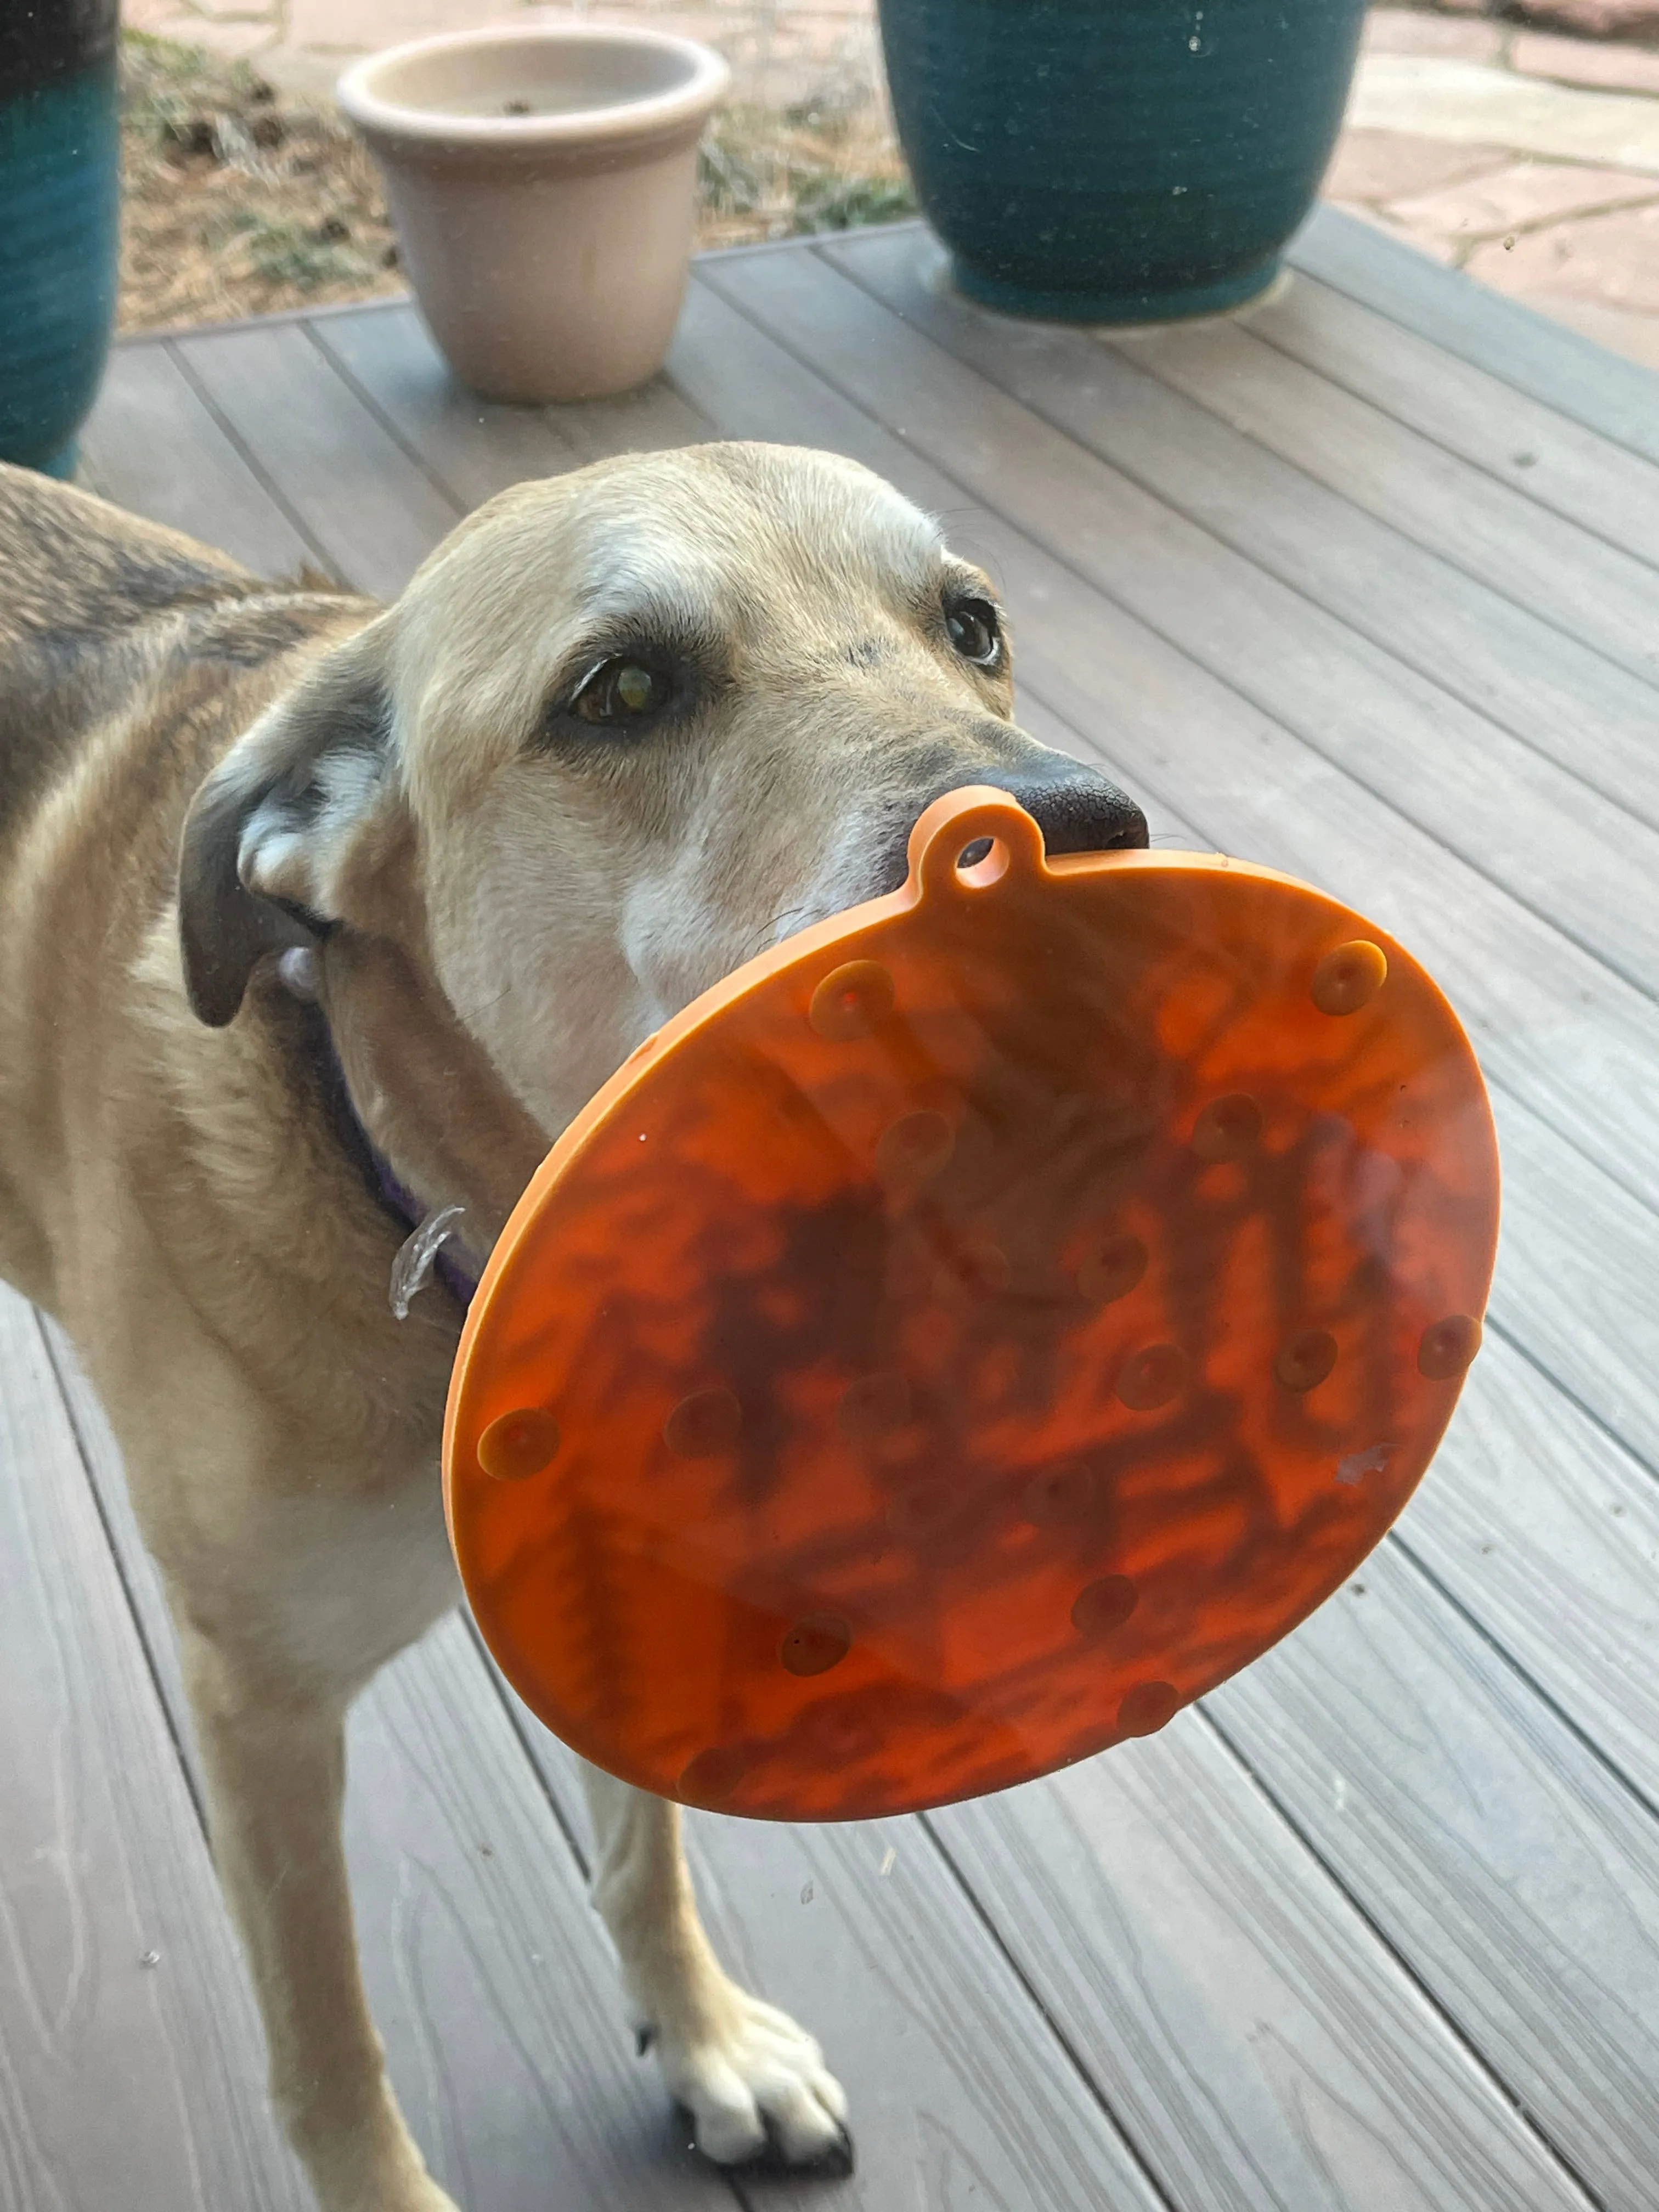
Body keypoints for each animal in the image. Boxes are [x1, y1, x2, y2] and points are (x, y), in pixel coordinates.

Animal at [0, 449, 1141, 2212]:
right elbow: (329, 2043)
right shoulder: (256, 1705)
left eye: (972, 625)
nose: (1085, 845)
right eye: (620, 692)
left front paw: (706, 2039)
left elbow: (643, 1854)